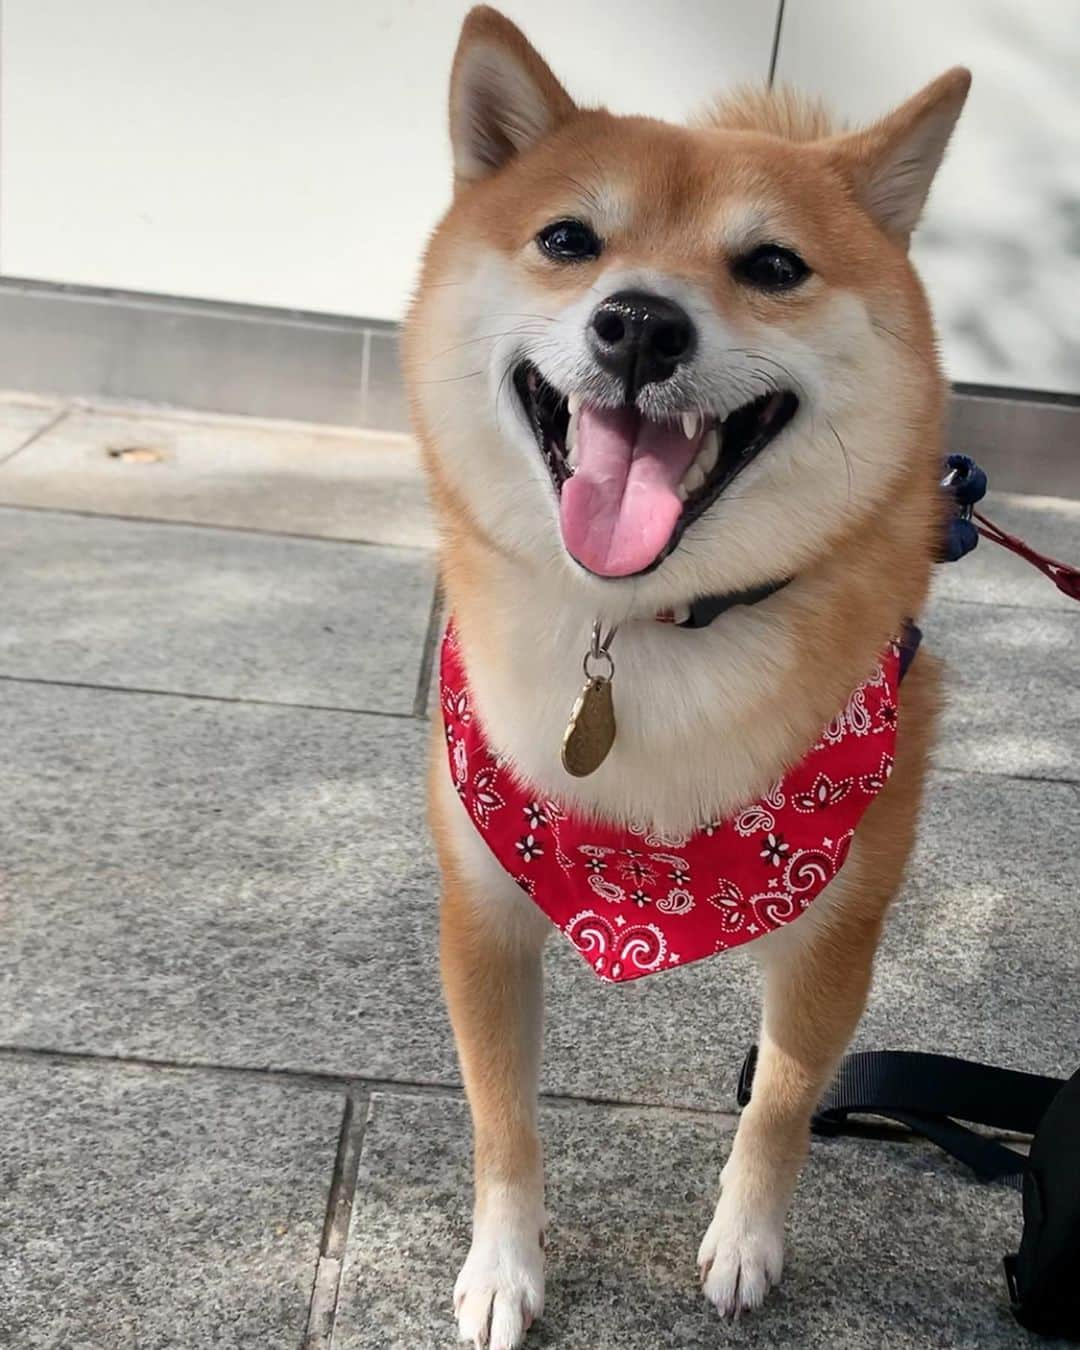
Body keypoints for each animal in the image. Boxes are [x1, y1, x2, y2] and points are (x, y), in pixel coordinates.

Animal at [402, 7, 972, 1339]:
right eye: (568, 239)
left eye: (771, 266)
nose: (642, 323)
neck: (648, 629)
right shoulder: (483, 912)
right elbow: (502, 1121)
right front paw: (504, 1268)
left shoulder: (836, 931)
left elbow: (783, 1101)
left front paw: (747, 1243)